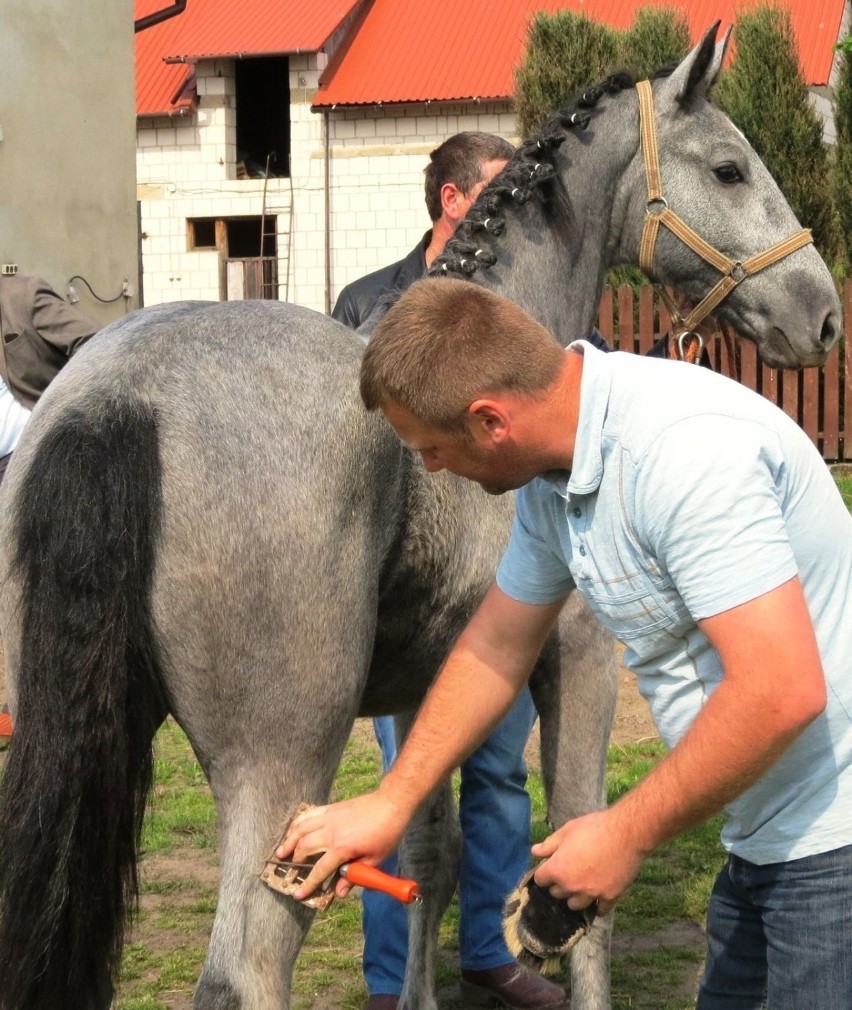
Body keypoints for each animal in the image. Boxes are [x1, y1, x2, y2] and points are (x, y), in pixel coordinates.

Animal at [0, 21, 839, 1010]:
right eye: (730, 170)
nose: (822, 314)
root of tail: (120, 397)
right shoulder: (581, 668)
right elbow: (582, 869)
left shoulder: (422, 696)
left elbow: (428, 857)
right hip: (282, 771)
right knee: (245, 970)